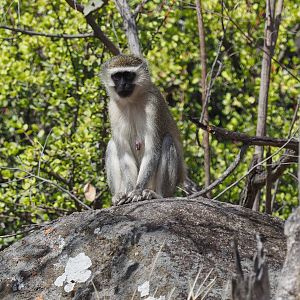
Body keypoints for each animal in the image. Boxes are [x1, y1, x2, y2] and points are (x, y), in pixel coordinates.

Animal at [100, 54, 185, 206]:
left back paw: (157, 195)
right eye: (117, 76)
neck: (131, 101)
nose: (123, 85)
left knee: (168, 141)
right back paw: (118, 195)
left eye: (128, 75)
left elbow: (152, 151)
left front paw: (137, 191)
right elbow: (125, 154)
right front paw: (128, 192)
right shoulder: (112, 108)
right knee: (112, 145)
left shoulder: (153, 104)